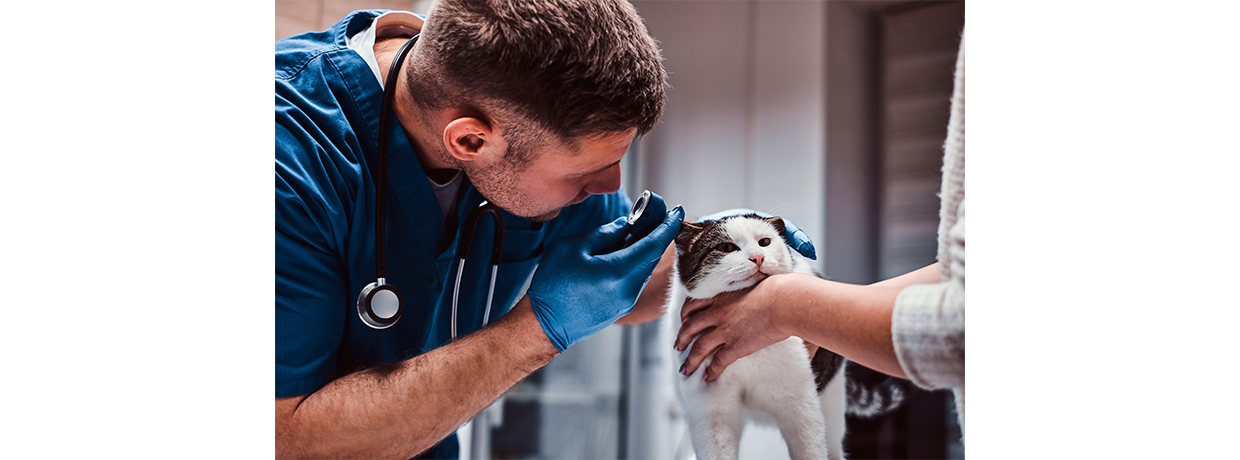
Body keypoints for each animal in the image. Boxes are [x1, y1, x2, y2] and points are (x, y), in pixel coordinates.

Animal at [669, 214, 902, 458]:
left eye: (764, 242)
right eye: (726, 248)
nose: (758, 257)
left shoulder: (799, 402)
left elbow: (810, 448)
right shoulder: (712, 410)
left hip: (831, 404)